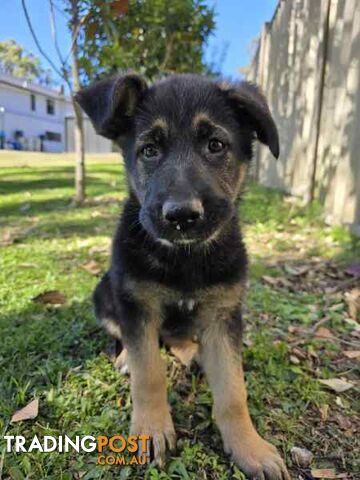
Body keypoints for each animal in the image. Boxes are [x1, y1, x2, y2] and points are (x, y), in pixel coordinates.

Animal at [76, 75, 290, 480]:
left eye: (216, 145)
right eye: (149, 151)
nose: (182, 216)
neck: (184, 258)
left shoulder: (223, 314)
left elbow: (233, 391)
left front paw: (249, 447)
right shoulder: (136, 306)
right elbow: (148, 374)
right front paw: (150, 429)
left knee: (181, 338)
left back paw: (193, 352)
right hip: (104, 293)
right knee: (125, 337)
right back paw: (126, 357)